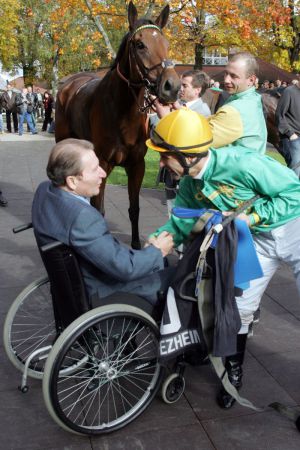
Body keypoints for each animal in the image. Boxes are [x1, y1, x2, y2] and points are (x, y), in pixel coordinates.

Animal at [54, 2, 179, 250]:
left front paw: (136, 244)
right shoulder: (101, 164)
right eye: (140, 44)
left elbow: (134, 208)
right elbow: (98, 209)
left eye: (167, 44)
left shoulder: (137, 165)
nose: (172, 86)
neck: (122, 113)